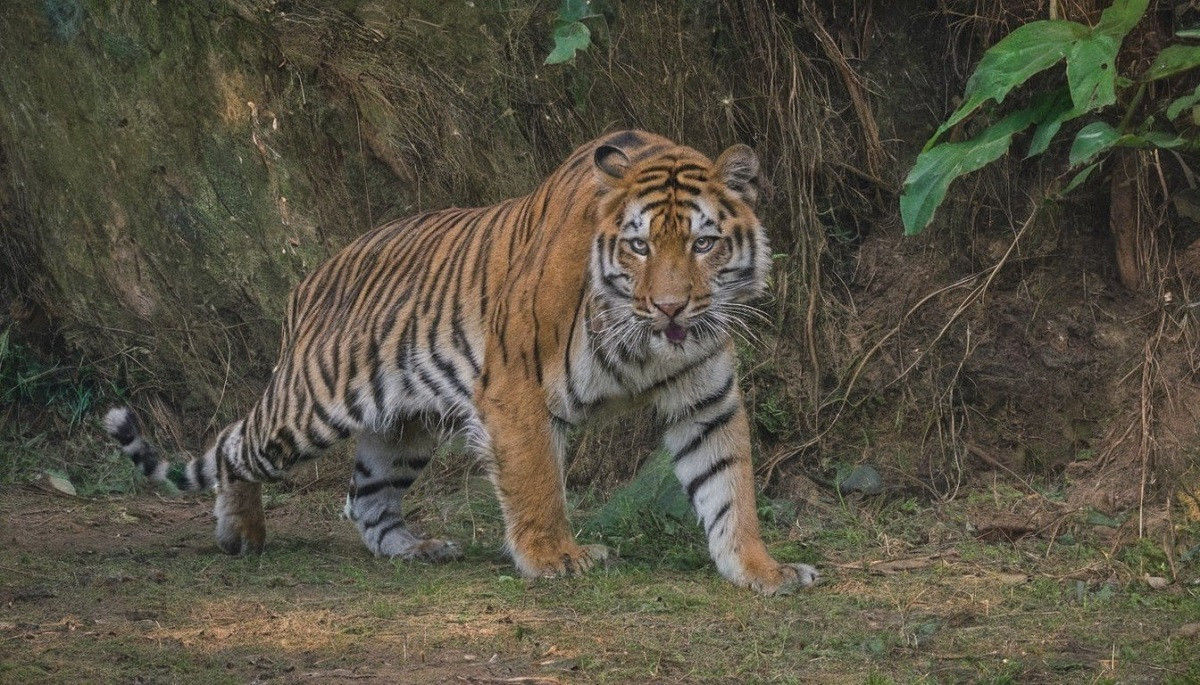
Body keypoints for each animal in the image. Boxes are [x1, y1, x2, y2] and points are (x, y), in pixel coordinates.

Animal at [105, 128, 816, 595]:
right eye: (639, 246)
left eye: (703, 243)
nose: (670, 308)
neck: (644, 342)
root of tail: (312, 277)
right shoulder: (515, 388)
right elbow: (537, 482)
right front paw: (555, 558)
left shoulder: (705, 400)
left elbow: (729, 487)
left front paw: (762, 569)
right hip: (307, 408)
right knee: (235, 442)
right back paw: (240, 532)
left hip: (404, 428)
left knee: (365, 501)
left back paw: (418, 549)